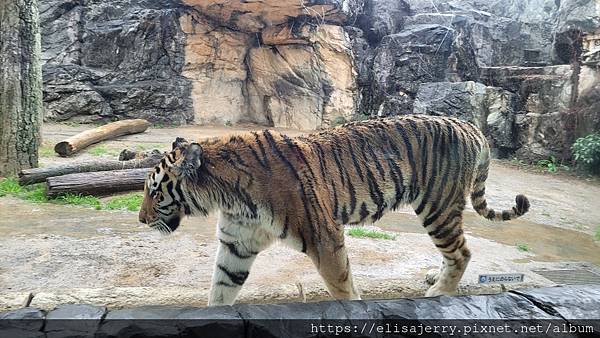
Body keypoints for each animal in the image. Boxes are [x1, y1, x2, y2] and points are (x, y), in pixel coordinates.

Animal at [137, 115, 528, 304]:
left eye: (155, 192)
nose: (140, 219)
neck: (227, 194)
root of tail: (470, 125)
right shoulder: (237, 244)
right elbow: (220, 290)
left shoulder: (324, 237)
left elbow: (342, 287)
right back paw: (435, 279)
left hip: (437, 207)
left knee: (462, 252)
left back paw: (437, 295)